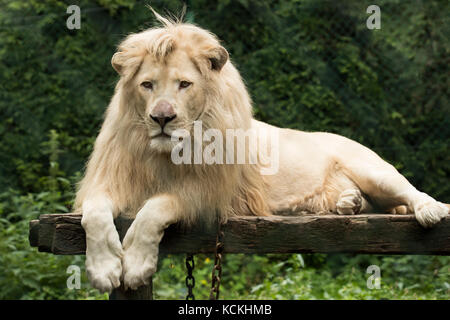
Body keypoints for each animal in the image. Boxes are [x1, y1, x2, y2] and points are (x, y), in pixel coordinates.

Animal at [74, 12, 446, 292]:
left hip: (374, 170)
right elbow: (94, 213)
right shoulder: (109, 182)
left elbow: (154, 208)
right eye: (147, 85)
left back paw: (430, 210)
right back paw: (347, 204)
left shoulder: (207, 194)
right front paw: (104, 268)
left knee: (413, 193)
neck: (164, 155)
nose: (162, 118)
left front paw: (136, 265)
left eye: (184, 84)